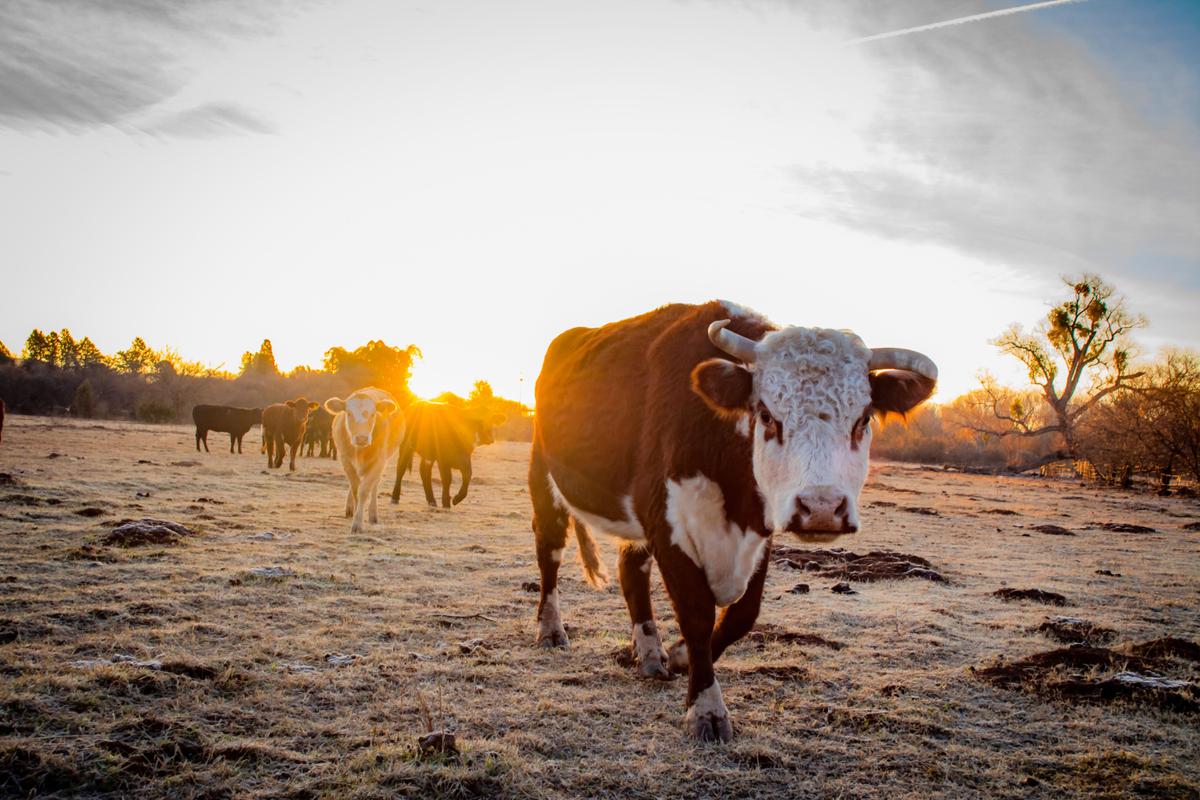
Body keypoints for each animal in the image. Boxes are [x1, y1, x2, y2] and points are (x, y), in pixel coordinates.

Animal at [325, 387, 405, 533]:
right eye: (349, 413)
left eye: (373, 414)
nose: (361, 438)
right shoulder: (346, 460)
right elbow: (356, 489)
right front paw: (355, 513)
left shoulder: (379, 462)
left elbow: (364, 491)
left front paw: (358, 523)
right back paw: (350, 508)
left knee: (374, 485)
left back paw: (373, 514)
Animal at [529, 301, 936, 742]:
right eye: (767, 415)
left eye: (863, 419)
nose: (822, 508)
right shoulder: (668, 525)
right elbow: (697, 613)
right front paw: (706, 710)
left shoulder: (762, 530)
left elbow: (743, 614)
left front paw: (680, 655)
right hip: (544, 479)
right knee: (550, 553)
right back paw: (551, 631)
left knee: (631, 572)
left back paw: (650, 652)